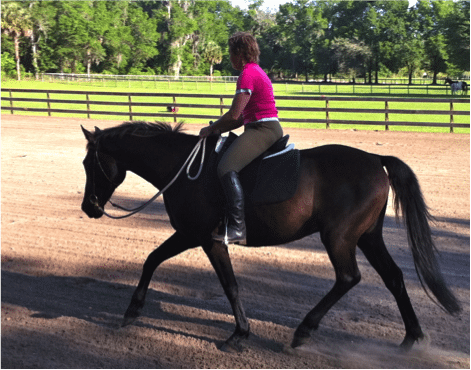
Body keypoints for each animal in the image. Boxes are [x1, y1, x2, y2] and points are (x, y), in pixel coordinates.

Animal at [81, 121, 460, 352]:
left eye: (89, 164)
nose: (89, 207)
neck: (185, 169)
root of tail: (374, 159)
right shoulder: (194, 236)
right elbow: (154, 260)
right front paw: (133, 310)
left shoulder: (201, 236)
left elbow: (226, 284)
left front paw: (239, 334)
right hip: (368, 237)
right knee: (393, 278)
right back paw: (411, 337)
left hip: (339, 238)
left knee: (348, 278)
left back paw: (303, 331)